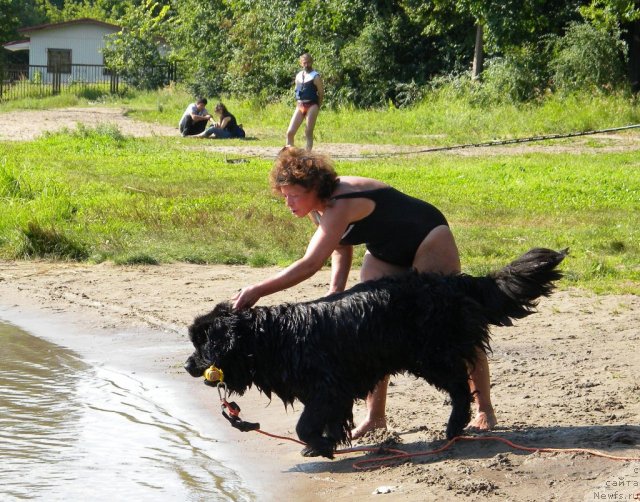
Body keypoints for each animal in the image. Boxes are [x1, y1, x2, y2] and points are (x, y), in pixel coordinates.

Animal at [184, 247, 564, 458]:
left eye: (202, 343)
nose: (187, 364)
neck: (271, 338)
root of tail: (455, 281)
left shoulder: (328, 387)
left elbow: (304, 425)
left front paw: (320, 446)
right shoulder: (329, 391)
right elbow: (328, 421)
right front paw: (328, 441)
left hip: (432, 356)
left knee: (460, 388)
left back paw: (454, 426)